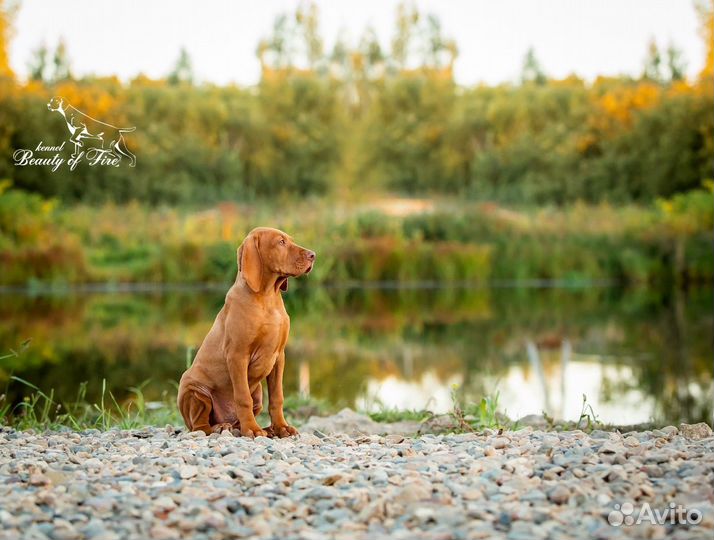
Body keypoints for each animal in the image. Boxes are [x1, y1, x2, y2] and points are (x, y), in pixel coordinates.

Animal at [176, 226, 314, 436]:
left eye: (290, 240)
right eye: (281, 242)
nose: (313, 255)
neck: (267, 297)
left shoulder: (279, 356)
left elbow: (277, 397)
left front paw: (281, 427)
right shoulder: (237, 355)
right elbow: (242, 398)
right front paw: (252, 430)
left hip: (257, 392)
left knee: (237, 420)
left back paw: (264, 428)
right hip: (194, 390)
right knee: (199, 426)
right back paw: (222, 427)